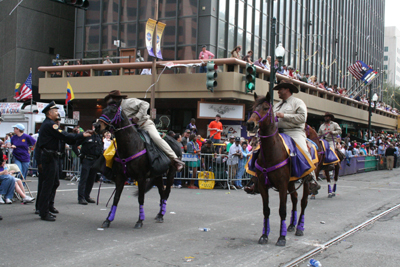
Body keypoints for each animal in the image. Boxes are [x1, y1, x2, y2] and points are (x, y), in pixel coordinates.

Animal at [93, 100, 180, 230]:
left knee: (167, 192)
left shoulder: (141, 177)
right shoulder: (120, 177)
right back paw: (160, 214)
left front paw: (140, 220)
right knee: (162, 192)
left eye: (113, 111)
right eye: (103, 110)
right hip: (158, 175)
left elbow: (141, 198)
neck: (130, 145)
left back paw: (161, 214)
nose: (97, 126)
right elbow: (116, 198)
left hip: (171, 174)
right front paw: (108, 219)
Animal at [245, 92, 310, 247]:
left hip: (305, 180)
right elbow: (266, 210)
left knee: (303, 201)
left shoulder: (282, 185)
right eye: (253, 107)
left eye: (265, 108)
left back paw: (299, 227)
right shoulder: (263, 185)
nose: (250, 124)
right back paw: (291, 225)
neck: (272, 152)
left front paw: (282, 237)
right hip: (291, 182)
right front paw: (264, 235)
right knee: (295, 198)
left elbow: (282, 210)